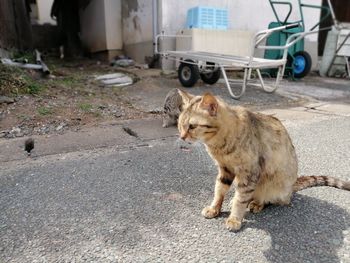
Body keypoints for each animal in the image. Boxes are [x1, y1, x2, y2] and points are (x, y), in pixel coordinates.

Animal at [178, 92, 350, 232]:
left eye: (192, 126)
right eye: (180, 124)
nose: (182, 137)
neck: (219, 145)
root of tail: (292, 186)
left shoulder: (249, 172)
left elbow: (241, 199)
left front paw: (234, 219)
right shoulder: (225, 169)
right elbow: (219, 190)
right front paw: (214, 208)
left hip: (273, 184)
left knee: (271, 199)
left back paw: (256, 204)